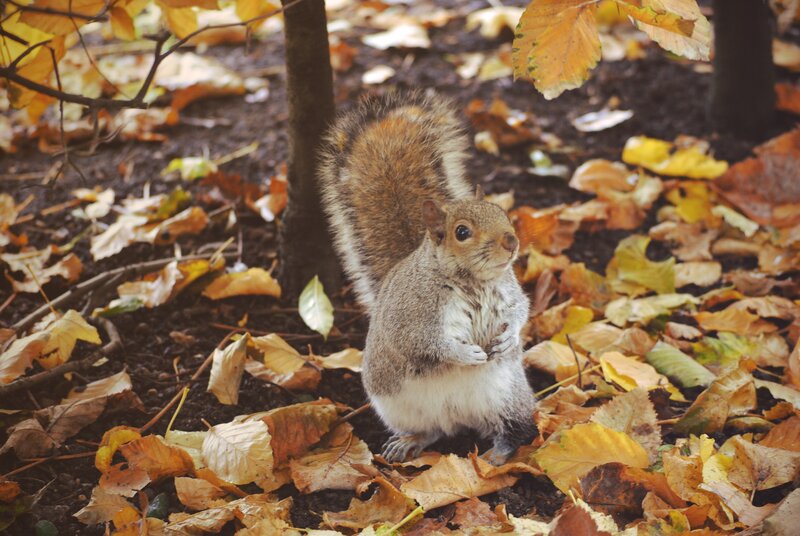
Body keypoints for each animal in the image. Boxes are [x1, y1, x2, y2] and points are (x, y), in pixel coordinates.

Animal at [319, 91, 537, 465]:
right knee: (432, 431)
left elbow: (521, 310)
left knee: (515, 428)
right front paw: (464, 354)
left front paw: (510, 338)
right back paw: (410, 442)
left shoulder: (509, 291)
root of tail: (458, 417)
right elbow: (422, 342)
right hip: (398, 407)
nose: (511, 242)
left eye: (502, 212)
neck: (472, 282)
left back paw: (497, 453)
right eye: (462, 232)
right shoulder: (411, 313)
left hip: (507, 396)